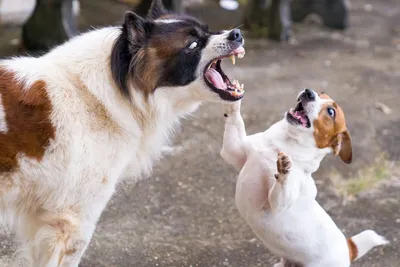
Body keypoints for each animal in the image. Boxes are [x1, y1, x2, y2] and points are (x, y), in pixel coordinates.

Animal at [220, 89, 390, 266]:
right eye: (321, 93)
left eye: (331, 112)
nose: (309, 92)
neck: (281, 144)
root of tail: (347, 248)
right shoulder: (233, 152)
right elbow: (235, 121)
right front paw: (233, 98)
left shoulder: (277, 204)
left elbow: (282, 185)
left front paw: (285, 169)